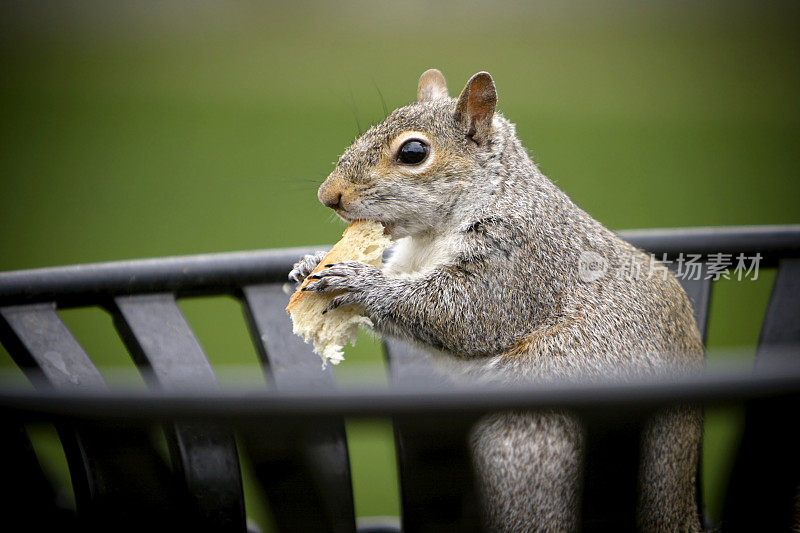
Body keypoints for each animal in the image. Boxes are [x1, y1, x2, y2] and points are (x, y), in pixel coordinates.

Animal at [290, 68, 704, 528]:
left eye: (414, 152)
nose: (329, 195)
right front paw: (309, 264)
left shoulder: (517, 260)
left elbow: (462, 315)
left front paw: (357, 282)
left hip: (528, 442)